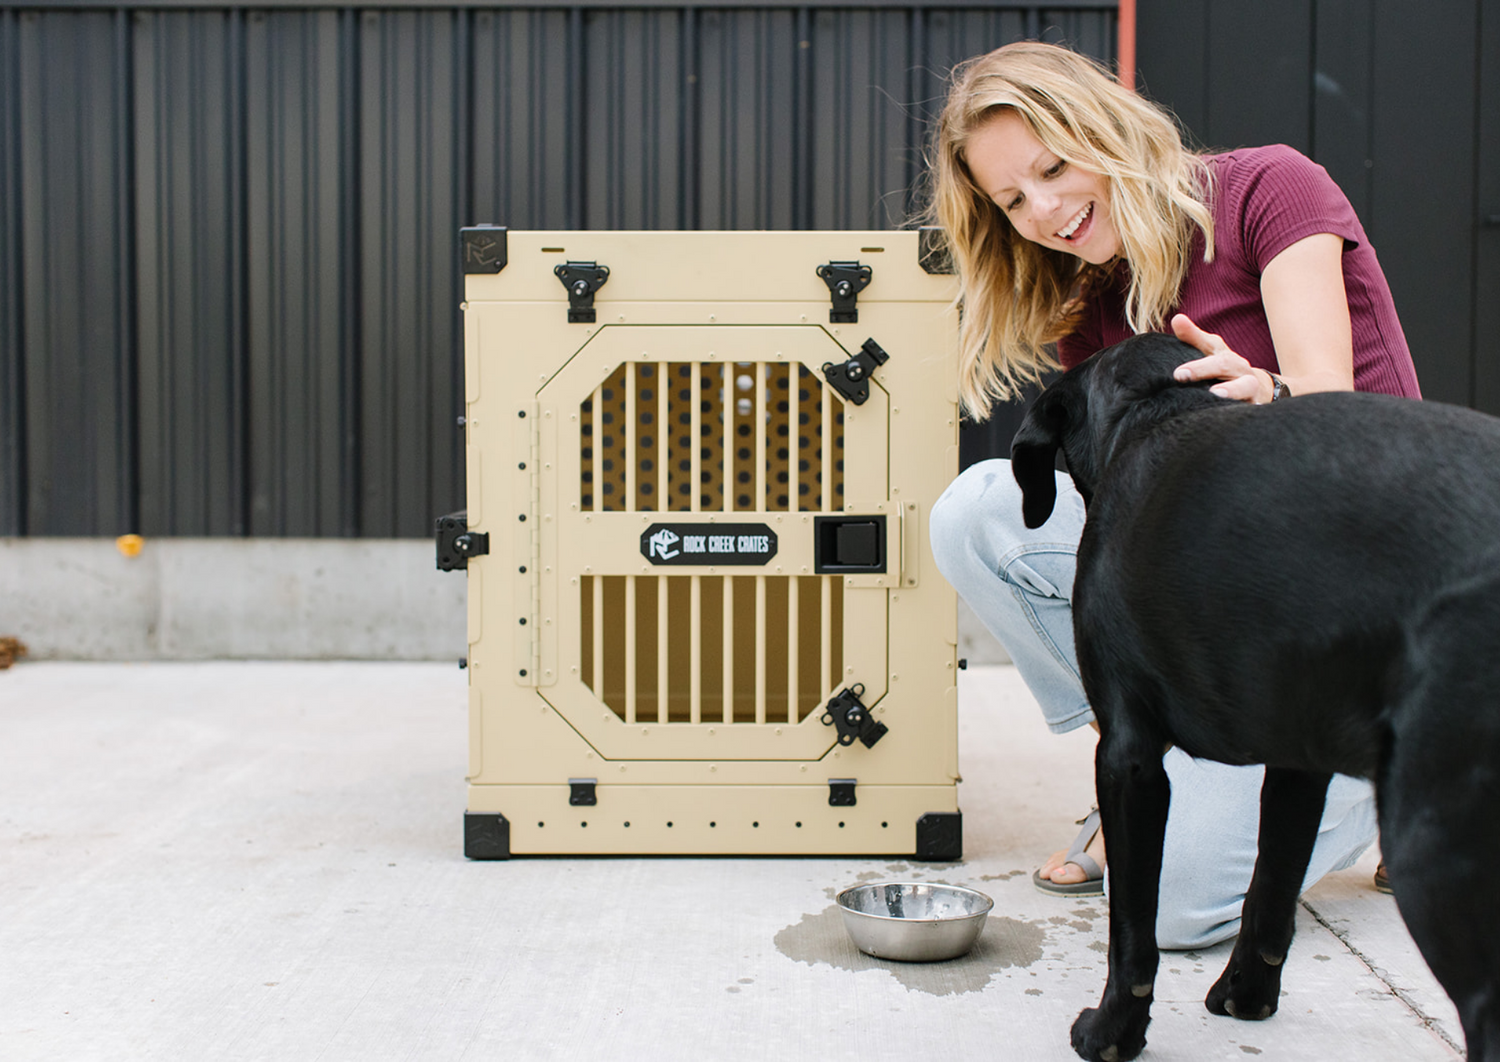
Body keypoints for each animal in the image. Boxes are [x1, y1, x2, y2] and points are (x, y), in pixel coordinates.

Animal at [1008, 334, 1500, 1062]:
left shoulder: (1127, 755)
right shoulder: (1298, 762)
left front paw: (1112, 1033)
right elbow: (1270, 891)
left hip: (1432, 846)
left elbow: (1133, 934)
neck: (1162, 406)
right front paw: (1248, 995)